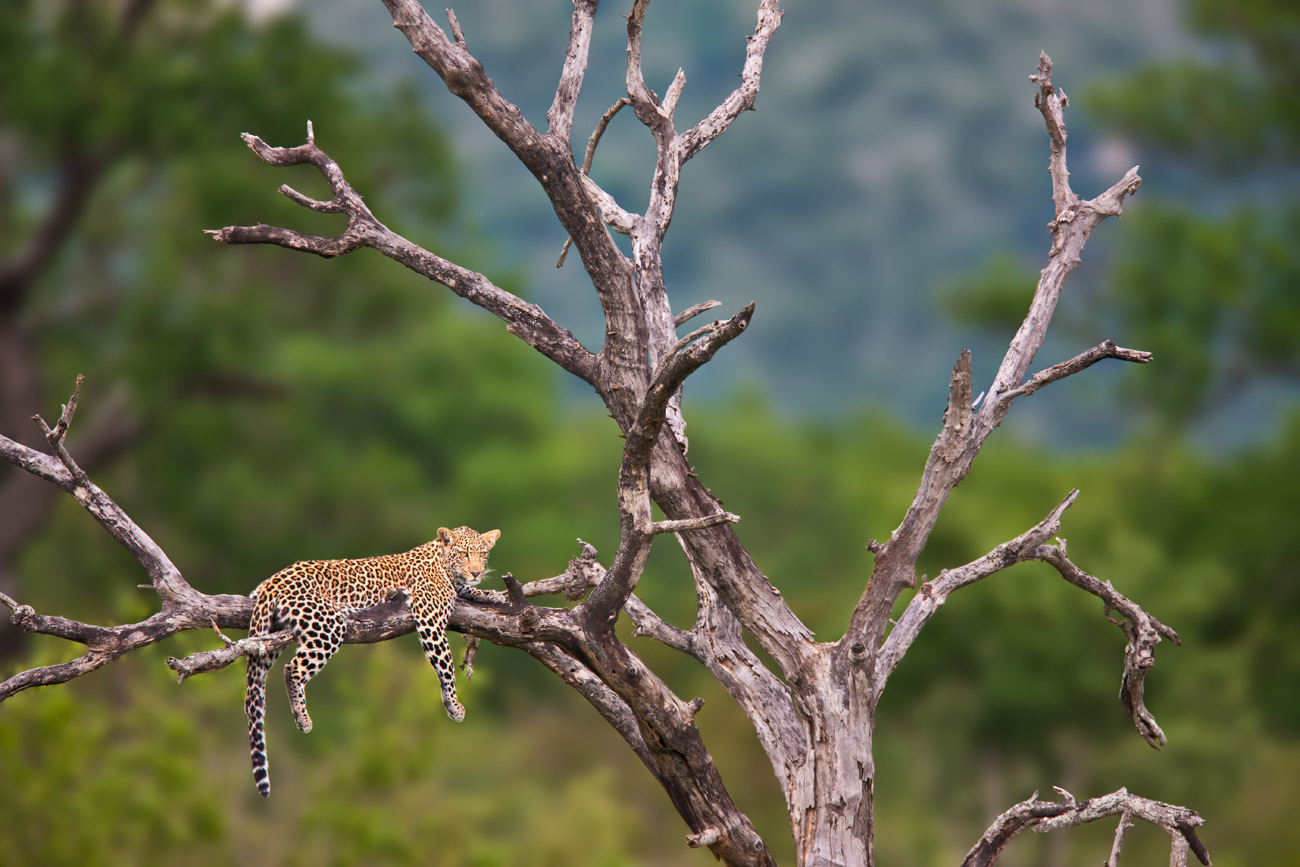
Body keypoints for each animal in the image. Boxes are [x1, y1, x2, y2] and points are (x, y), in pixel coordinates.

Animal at [244, 525, 501, 795]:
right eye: (463, 554)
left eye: (483, 554)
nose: (476, 571)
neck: (442, 563)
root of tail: (273, 581)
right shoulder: (429, 620)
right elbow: (446, 665)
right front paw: (454, 705)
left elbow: (469, 590)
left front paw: (491, 594)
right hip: (328, 624)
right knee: (292, 669)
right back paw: (302, 718)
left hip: (270, 635)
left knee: (258, 681)